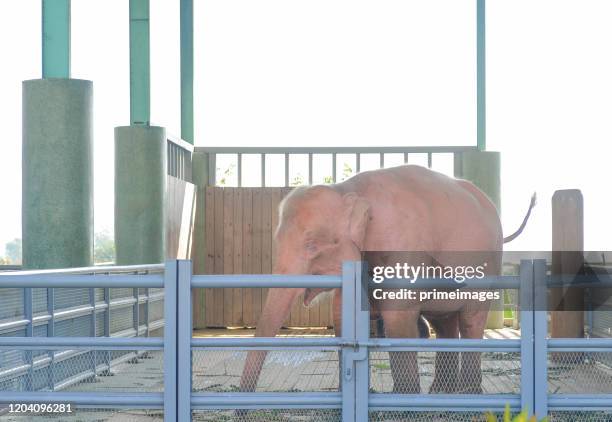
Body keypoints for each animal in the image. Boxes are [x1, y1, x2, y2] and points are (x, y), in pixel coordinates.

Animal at [239, 164, 536, 392]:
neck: (348, 190)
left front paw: (403, 401)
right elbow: (344, 313)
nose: (241, 409)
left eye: (311, 245)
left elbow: (397, 314)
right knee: (444, 323)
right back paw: (442, 391)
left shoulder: (403, 242)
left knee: (471, 318)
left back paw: (468, 393)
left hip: (488, 263)